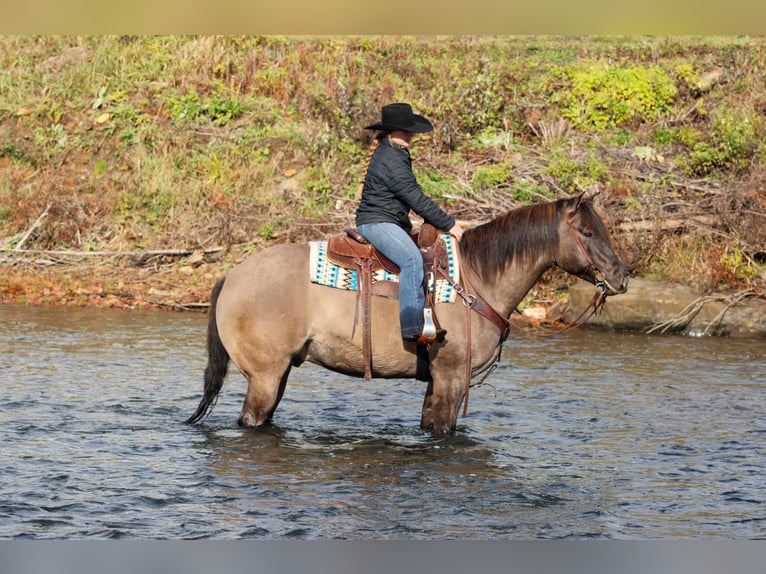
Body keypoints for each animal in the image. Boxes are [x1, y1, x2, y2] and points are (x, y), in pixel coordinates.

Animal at [185, 193, 629, 436]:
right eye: (587, 233)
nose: (622, 276)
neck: (478, 279)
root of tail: (232, 275)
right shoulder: (452, 377)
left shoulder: (436, 380)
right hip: (265, 376)